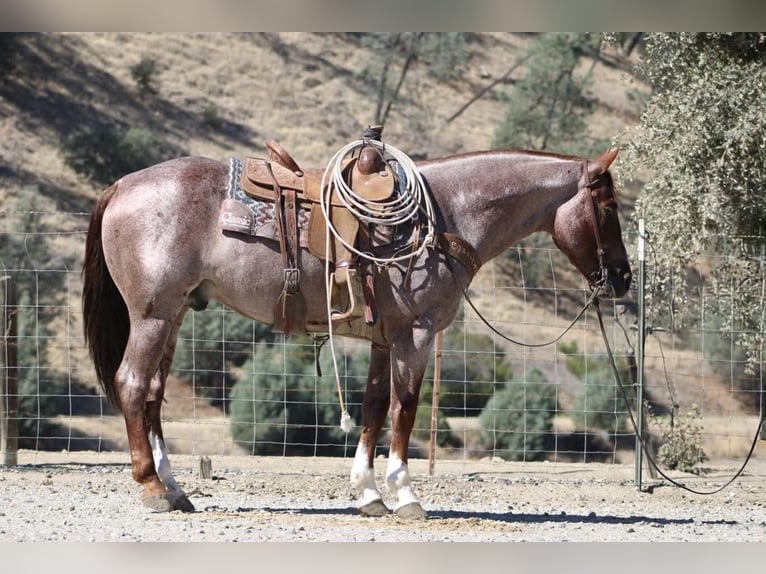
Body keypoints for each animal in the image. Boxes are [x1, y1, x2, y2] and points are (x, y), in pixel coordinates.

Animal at [82, 145, 631, 519]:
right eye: (608, 209)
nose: (623, 278)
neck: (446, 217)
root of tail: (121, 186)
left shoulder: (386, 339)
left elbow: (373, 408)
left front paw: (369, 493)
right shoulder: (416, 335)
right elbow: (404, 410)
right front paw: (405, 494)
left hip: (173, 316)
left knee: (152, 395)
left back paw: (175, 490)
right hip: (152, 315)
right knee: (132, 384)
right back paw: (152, 488)